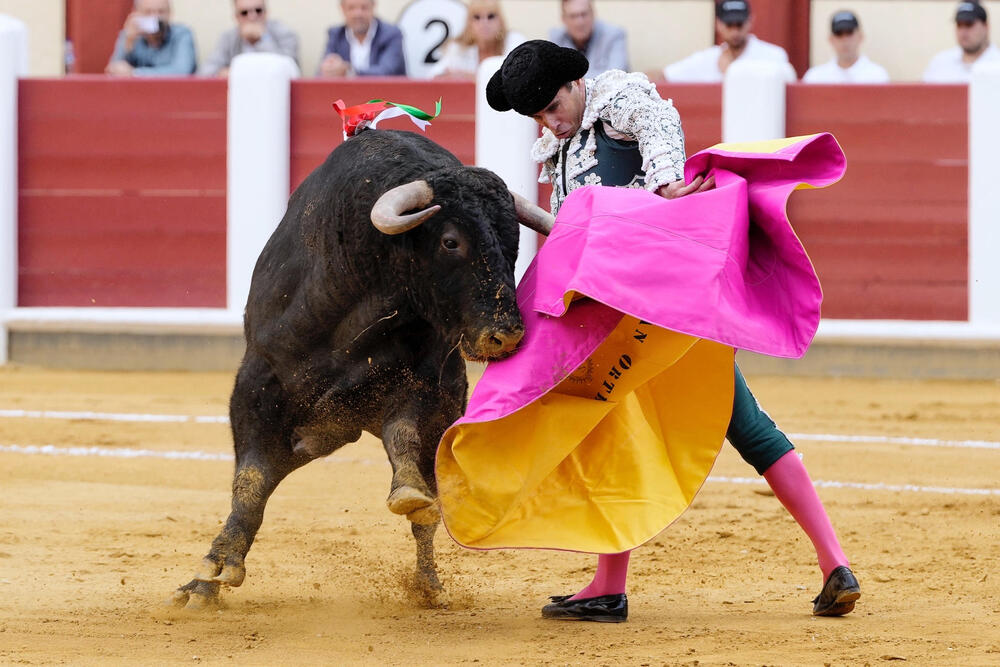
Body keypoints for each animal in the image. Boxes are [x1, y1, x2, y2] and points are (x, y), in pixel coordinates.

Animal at [168, 126, 552, 612]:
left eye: (513, 243)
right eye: (450, 241)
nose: (506, 335)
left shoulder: (426, 387)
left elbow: (404, 437)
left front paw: (410, 496)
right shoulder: (256, 386)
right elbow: (250, 483)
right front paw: (211, 576)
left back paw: (428, 582)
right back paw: (203, 582)